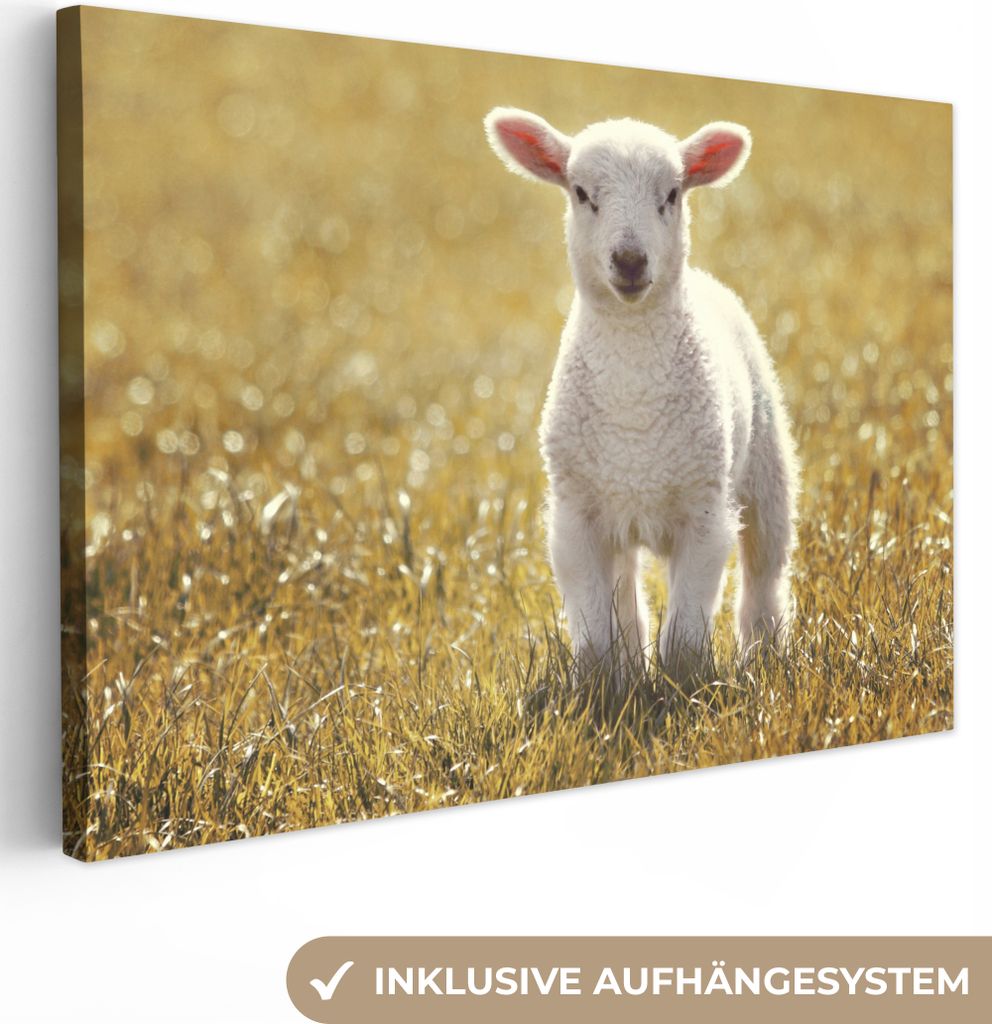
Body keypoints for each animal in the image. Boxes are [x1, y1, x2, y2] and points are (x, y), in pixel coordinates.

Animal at [483, 107, 798, 681]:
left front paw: (682, 685)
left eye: (672, 193)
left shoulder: (705, 511)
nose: (629, 260)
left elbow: (687, 633)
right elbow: (594, 628)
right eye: (581, 193)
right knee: (626, 592)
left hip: (767, 470)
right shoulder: (576, 516)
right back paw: (631, 667)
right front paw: (601, 685)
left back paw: (765, 655)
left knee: (764, 574)